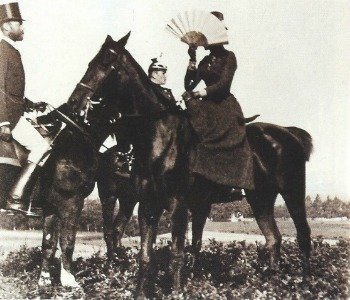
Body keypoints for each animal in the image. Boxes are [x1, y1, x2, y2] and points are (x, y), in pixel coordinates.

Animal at [68, 33, 312, 298]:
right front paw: (140, 292)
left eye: (106, 62)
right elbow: (146, 255)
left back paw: (306, 283)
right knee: (273, 239)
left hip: (292, 192)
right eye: (91, 62)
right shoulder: (148, 204)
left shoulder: (179, 204)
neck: (162, 138)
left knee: (303, 234)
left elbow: (177, 253)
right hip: (261, 199)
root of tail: (289, 133)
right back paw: (272, 284)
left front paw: (176, 291)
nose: (74, 103)